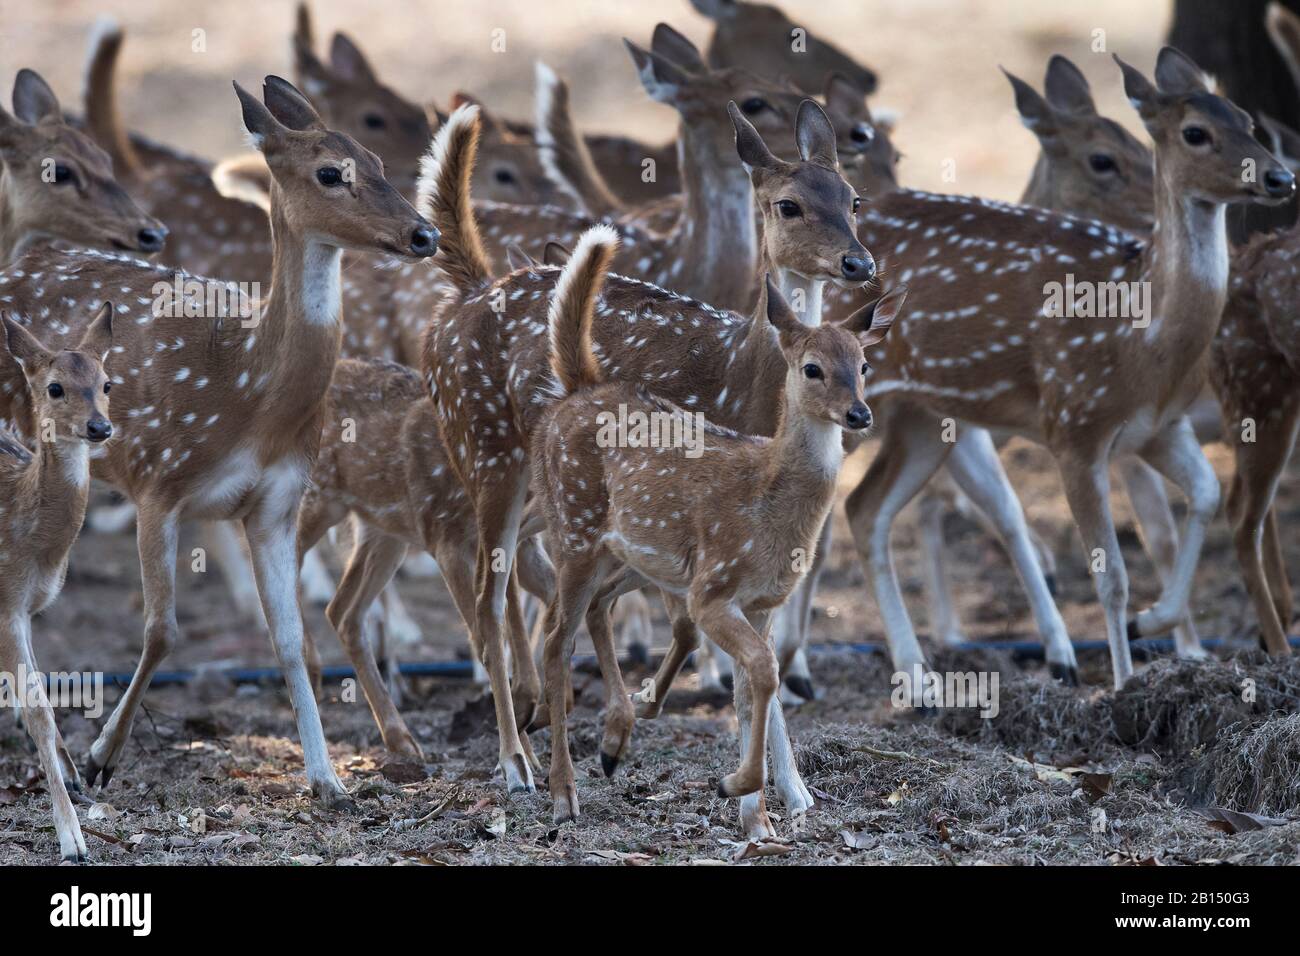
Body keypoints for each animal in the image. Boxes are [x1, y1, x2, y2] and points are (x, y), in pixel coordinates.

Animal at [0, 78, 439, 806]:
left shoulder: (274, 504)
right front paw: (100, 757)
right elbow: (163, 630)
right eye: (330, 172)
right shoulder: (158, 479)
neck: (247, 390)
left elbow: (288, 638)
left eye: (378, 161)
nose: (423, 233)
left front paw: (327, 780)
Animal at [421, 98, 878, 790]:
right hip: (486, 447)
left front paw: (790, 789)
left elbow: (714, 641)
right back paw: (515, 760)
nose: (859, 262)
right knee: (487, 592)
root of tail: (466, 294)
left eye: (852, 199)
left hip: (544, 488)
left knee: (527, 571)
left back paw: (537, 712)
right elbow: (699, 630)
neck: (741, 380)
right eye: (788, 204)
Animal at [527, 230, 894, 832]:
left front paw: (758, 817)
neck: (769, 504)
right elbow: (763, 671)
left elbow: (753, 689)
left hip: (625, 553)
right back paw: (563, 793)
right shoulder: (713, 586)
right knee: (558, 640)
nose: (859, 414)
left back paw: (616, 739)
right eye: (812, 368)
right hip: (573, 529)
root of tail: (578, 389)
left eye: (864, 365)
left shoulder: (763, 601)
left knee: (596, 610)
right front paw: (737, 788)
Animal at [842, 48, 1289, 686]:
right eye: (1195, 132)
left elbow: (1201, 502)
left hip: (924, 417)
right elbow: (1113, 576)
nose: (1280, 177)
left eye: (1248, 121)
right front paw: (1125, 682)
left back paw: (919, 677)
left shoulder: (1160, 429)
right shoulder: (1074, 425)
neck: (1143, 342)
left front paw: (1155, 624)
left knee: (865, 511)